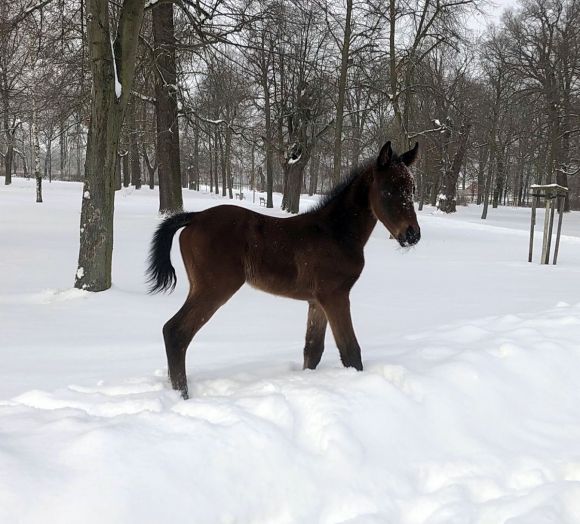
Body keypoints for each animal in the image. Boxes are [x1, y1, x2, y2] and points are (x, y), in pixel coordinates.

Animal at [147, 140, 420, 398]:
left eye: (412, 189)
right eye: (388, 191)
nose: (413, 235)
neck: (336, 233)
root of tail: (195, 216)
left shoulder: (317, 301)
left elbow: (313, 350)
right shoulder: (336, 296)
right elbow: (350, 351)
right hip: (215, 287)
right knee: (176, 332)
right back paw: (182, 396)